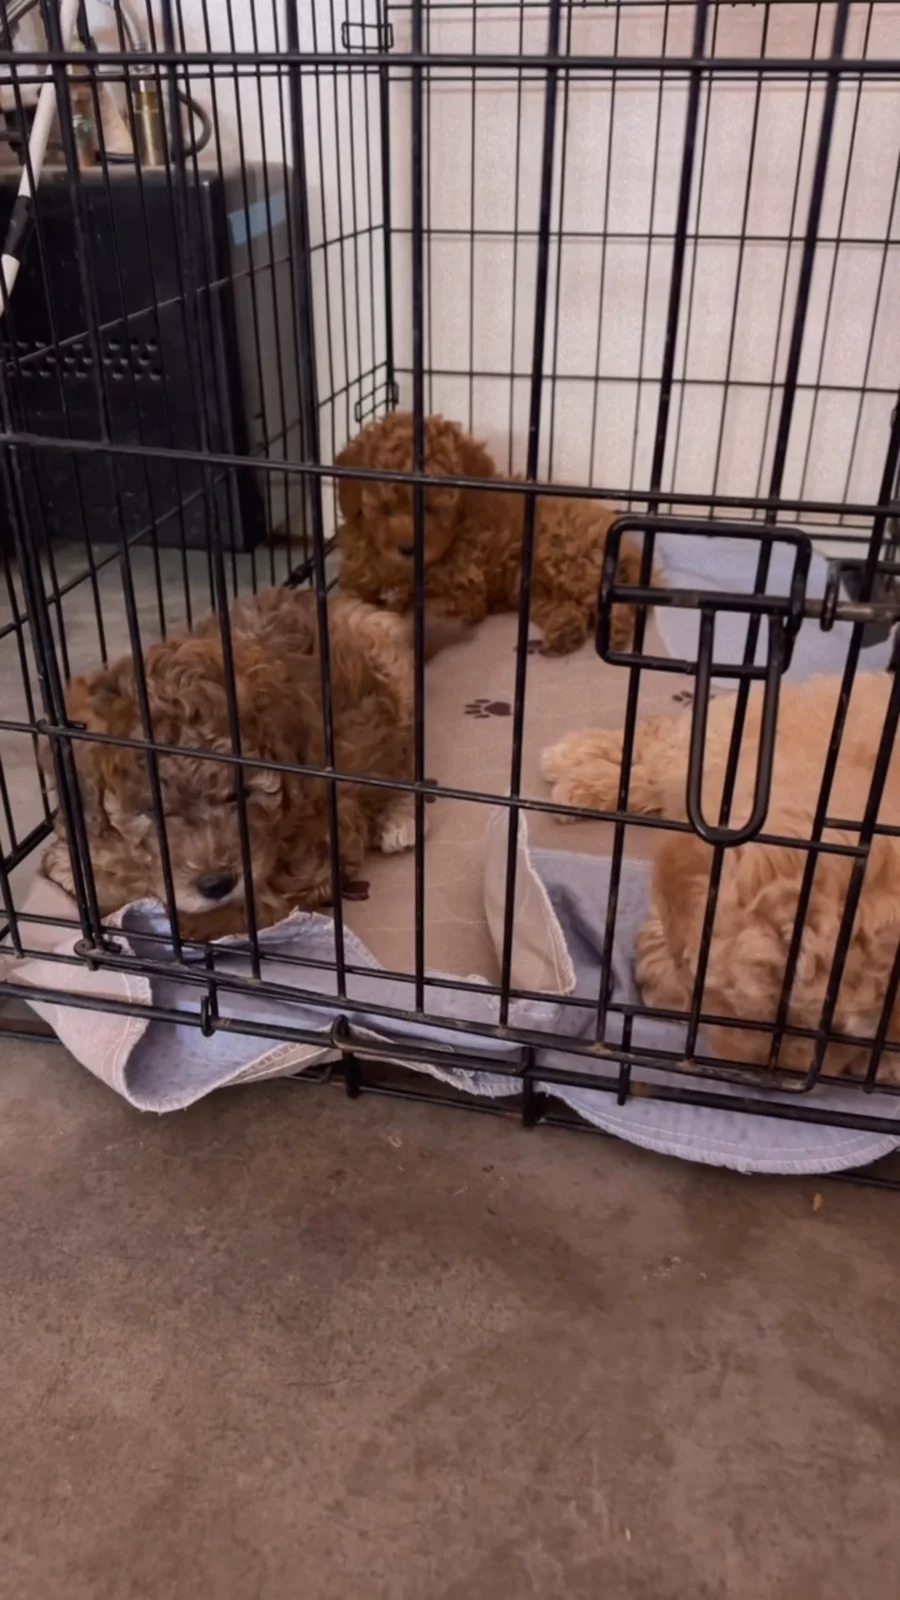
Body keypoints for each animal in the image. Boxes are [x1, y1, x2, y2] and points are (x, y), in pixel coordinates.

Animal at [41, 588, 460, 940]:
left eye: (242, 795)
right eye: (151, 812)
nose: (216, 884)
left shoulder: (317, 846)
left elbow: (242, 908)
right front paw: (73, 866)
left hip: (395, 675)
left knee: (405, 759)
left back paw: (401, 818)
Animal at [335, 410, 655, 655]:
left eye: (433, 508)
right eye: (384, 508)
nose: (408, 549)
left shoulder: (463, 592)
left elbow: (421, 612)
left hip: (567, 558)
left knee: (613, 600)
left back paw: (613, 631)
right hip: (535, 590)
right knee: (569, 607)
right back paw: (566, 632)